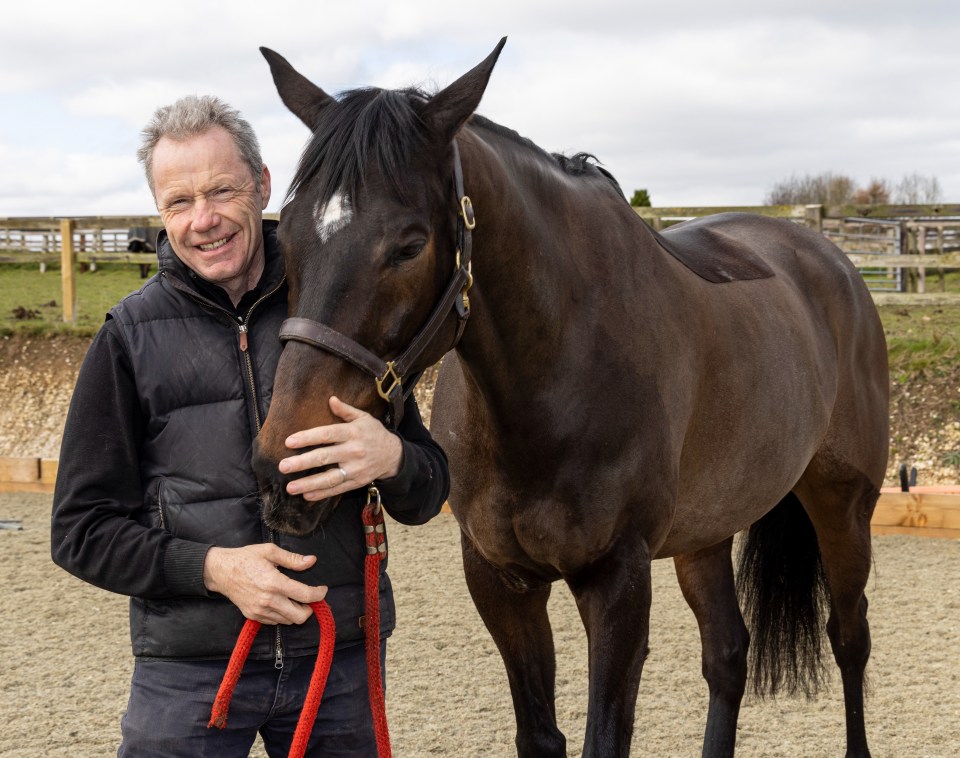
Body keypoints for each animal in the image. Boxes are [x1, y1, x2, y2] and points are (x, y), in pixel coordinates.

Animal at [251, 38, 888, 756]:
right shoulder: (501, 583)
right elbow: (541, 734)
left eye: (410, 245)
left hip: (842, 506)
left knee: (849, 636)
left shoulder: (616, 582)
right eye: (287, 233)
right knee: (728, 653)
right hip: (705, 532)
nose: (283, 470)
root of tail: (833, 262)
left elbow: (602, 738)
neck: (554, 381)